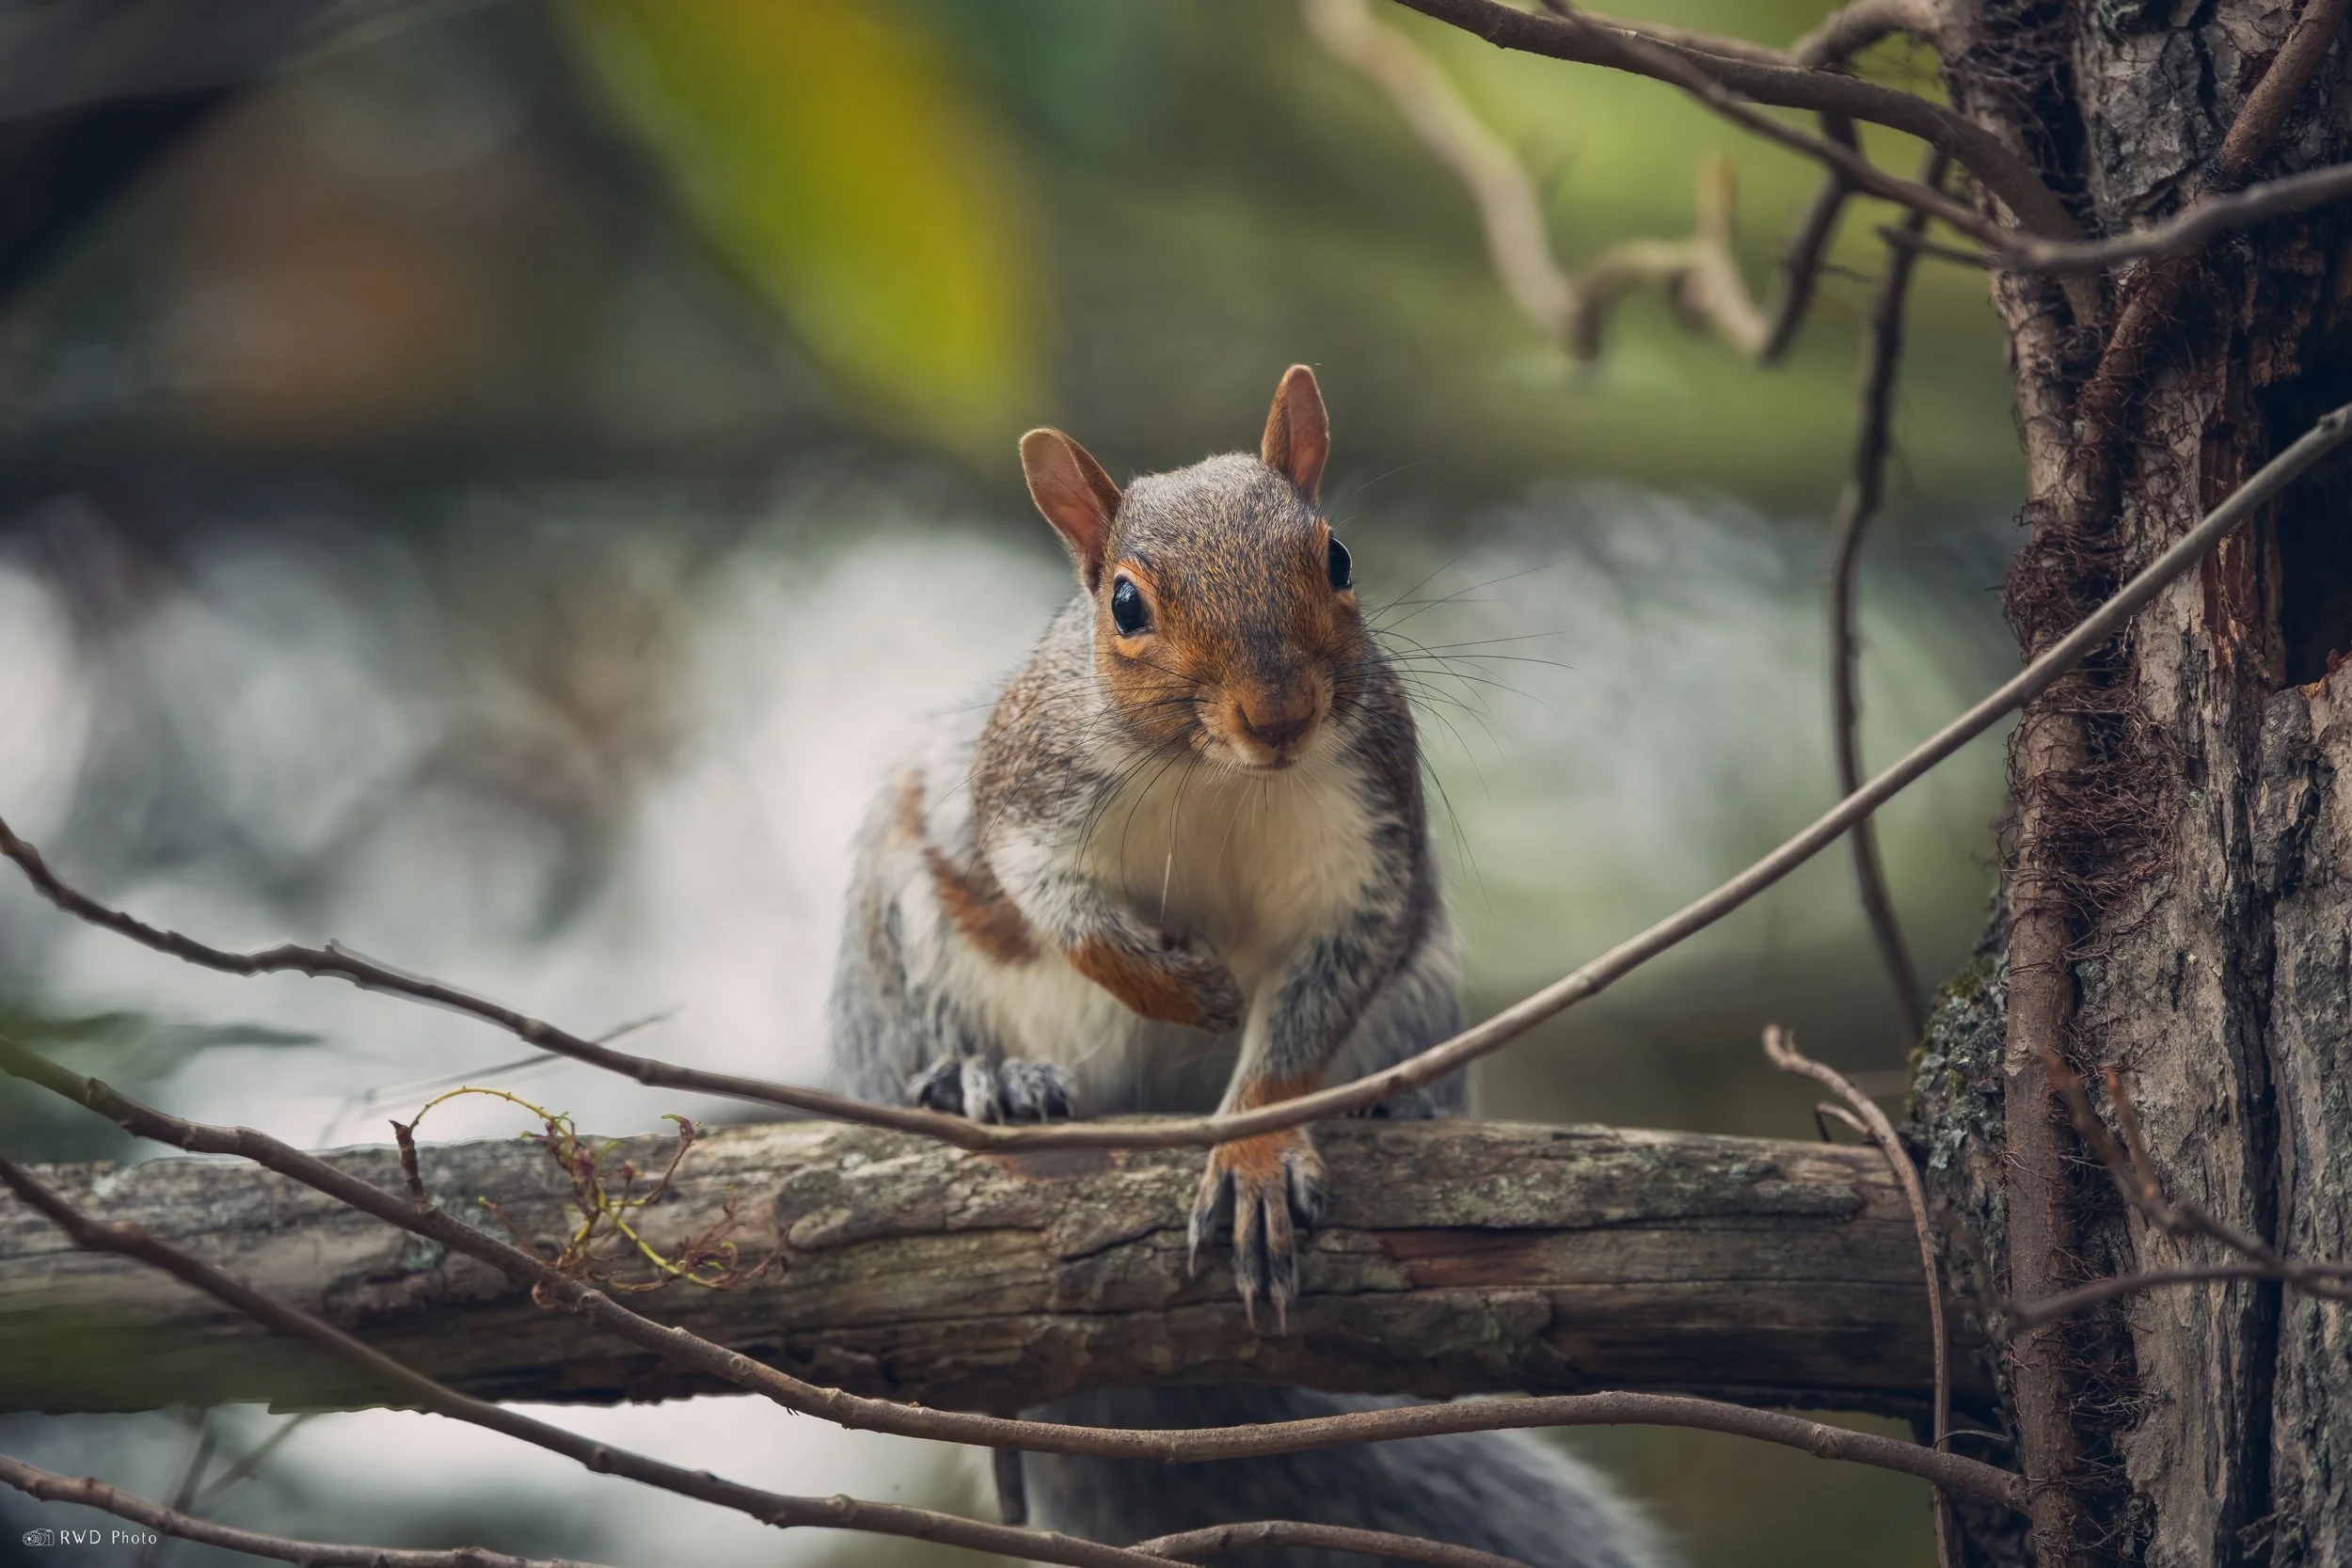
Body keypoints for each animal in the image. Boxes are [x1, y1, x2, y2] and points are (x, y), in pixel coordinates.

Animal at [824, 367, 1662, 1568]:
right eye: (1124, 605)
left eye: (1337, 555)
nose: (1279, 715)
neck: (1220, 773)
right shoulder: (1023, 797)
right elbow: (1066, 913)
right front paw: (1185, 987)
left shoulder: (1366, 861)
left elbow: (1302, 1020)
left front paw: (1257, 1151)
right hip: (897, 937)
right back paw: (984, 1078)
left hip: (1423, 992)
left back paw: (1388, 1110)